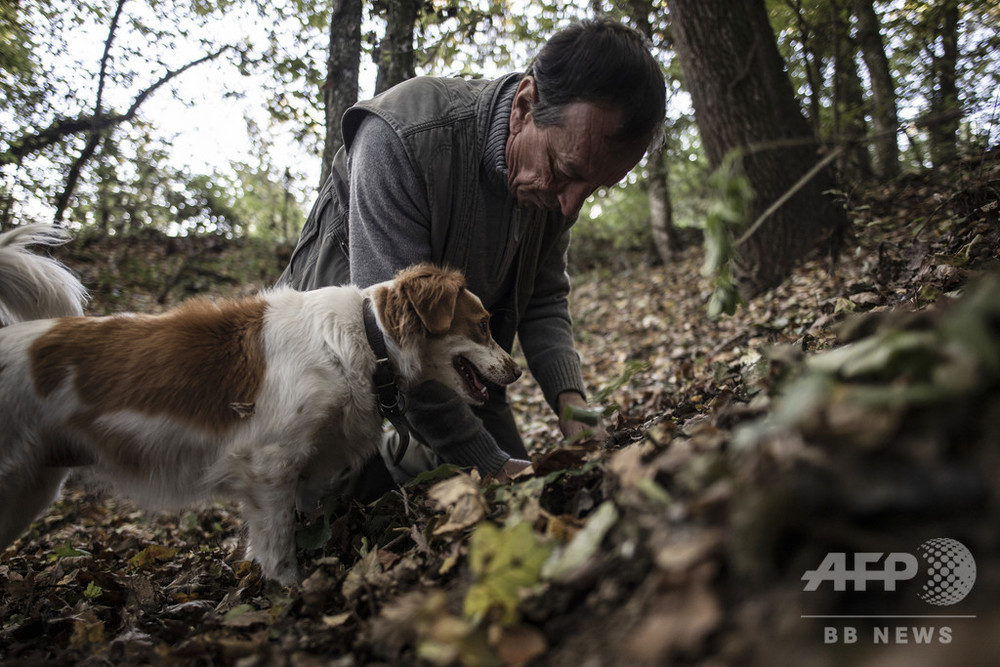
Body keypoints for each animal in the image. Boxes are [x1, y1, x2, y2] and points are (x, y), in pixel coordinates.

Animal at [1, 224, 524, 584]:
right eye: (481, 324)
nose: (517, 372)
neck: (361, 337)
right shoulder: (269, 464)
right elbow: (280, 549)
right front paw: (289, 598)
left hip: (32, 490)